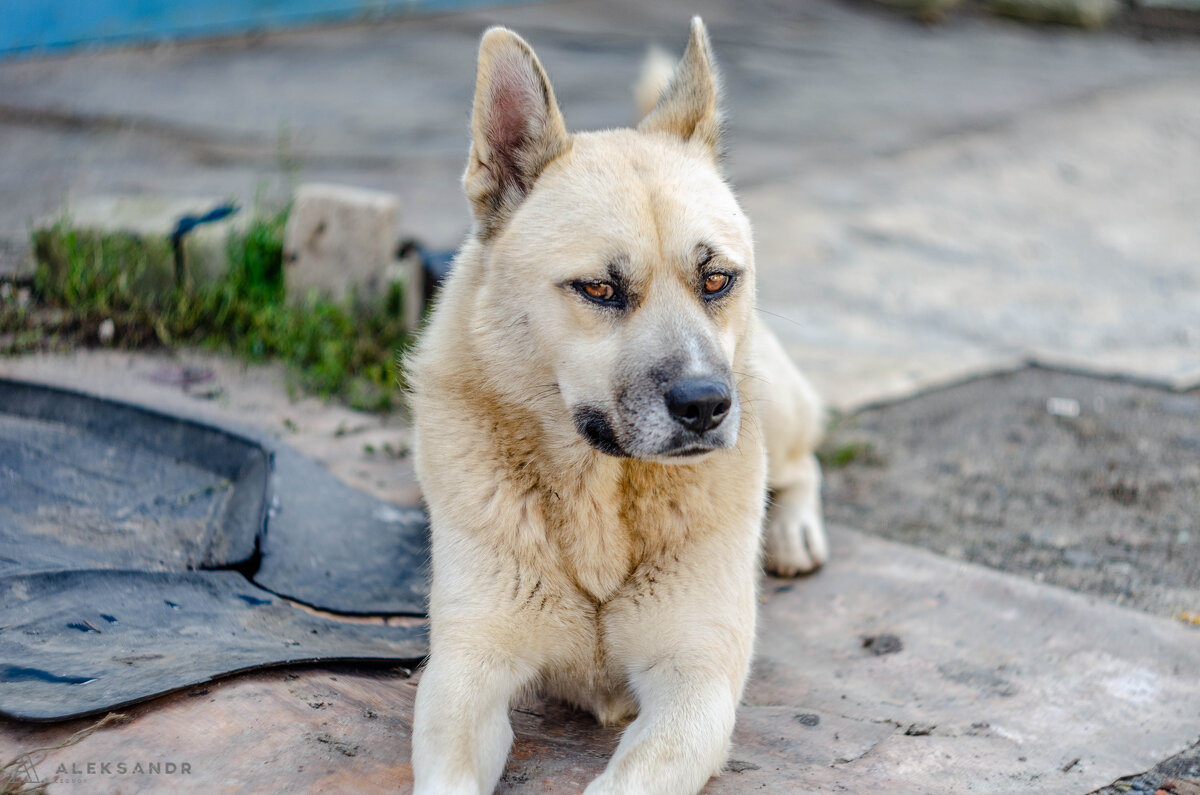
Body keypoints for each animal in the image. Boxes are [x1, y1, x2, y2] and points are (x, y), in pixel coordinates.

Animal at [408, 18, 830, 795]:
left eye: (716, 278)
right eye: (599, 289)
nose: (707, 405)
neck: (598, 492)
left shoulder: (695, 682)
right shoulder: (465, 671)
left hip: (774, 405)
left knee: (802, 461)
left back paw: (791, 533)